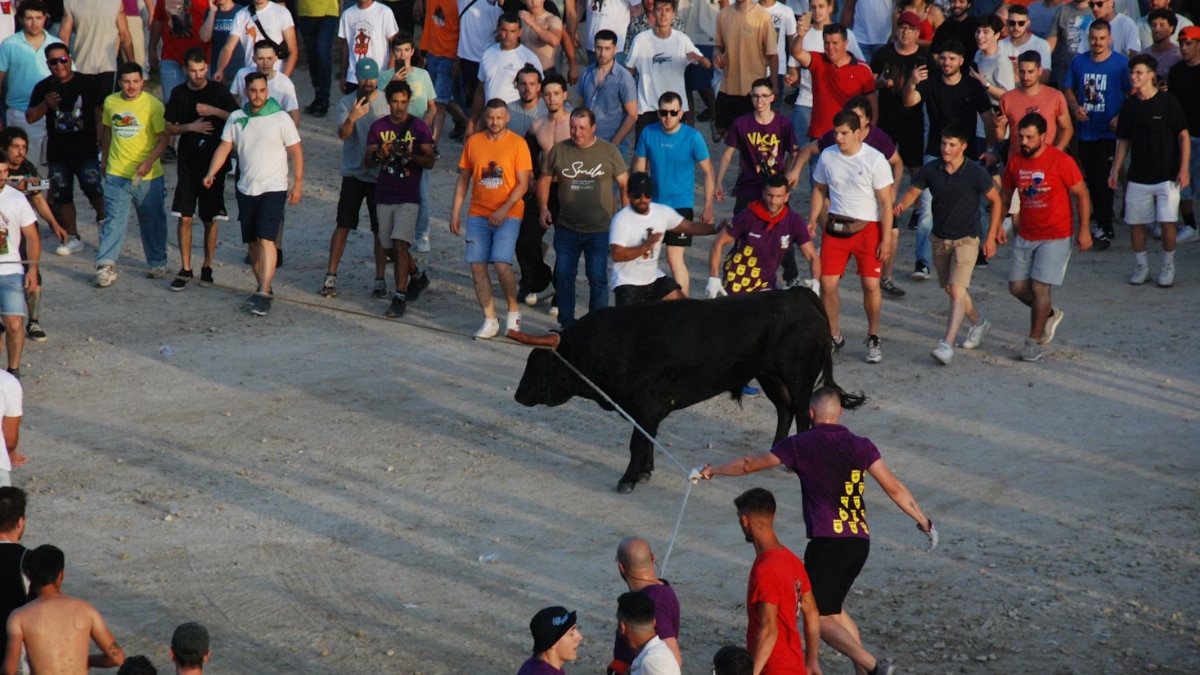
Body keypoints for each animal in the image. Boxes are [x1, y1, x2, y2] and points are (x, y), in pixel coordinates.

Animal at [514, 287, 866, 493]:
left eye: (543, 366)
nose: (518, 395)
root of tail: (800, 294)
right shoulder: (647, 411)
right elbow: (647, 440)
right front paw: (645, 472)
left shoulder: (646, 405)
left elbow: (637, 443)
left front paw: (628, 479)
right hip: (771, 377)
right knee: (785, 410)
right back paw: (776, 451)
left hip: (797, 377)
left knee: (802, 412)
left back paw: (791, 463)